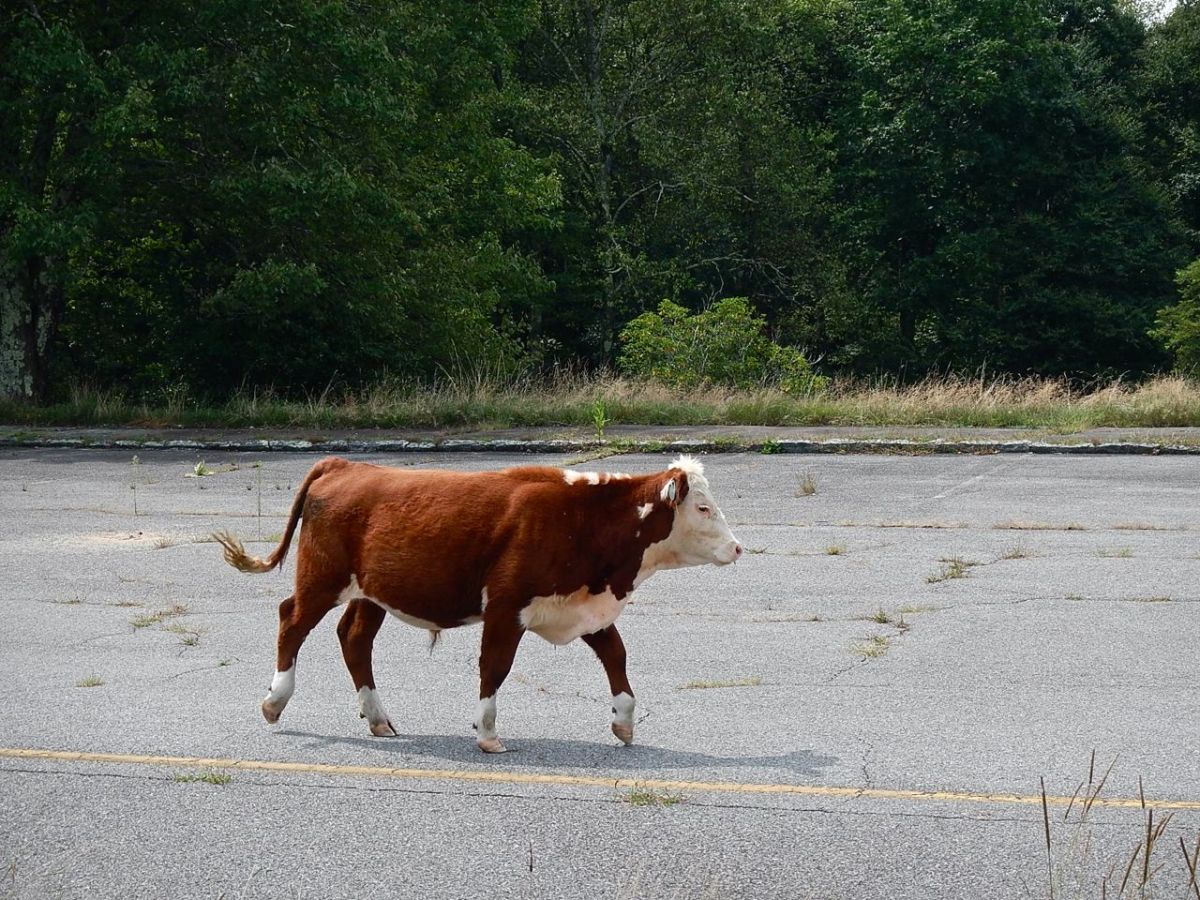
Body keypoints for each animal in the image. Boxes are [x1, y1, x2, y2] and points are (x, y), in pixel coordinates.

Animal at [213, 454, 742, 753]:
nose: (738, 548)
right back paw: (275, 702)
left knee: (354, 639)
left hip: (373, 593)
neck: (576, 518)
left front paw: (625, 723)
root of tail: (345, 465)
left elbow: (617, 657)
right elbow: (495, 666)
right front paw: (487, 733)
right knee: (292, 622)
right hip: (321, 579)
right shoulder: (506, 608)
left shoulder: (586, 608)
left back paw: (378, 718)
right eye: (702, 508)